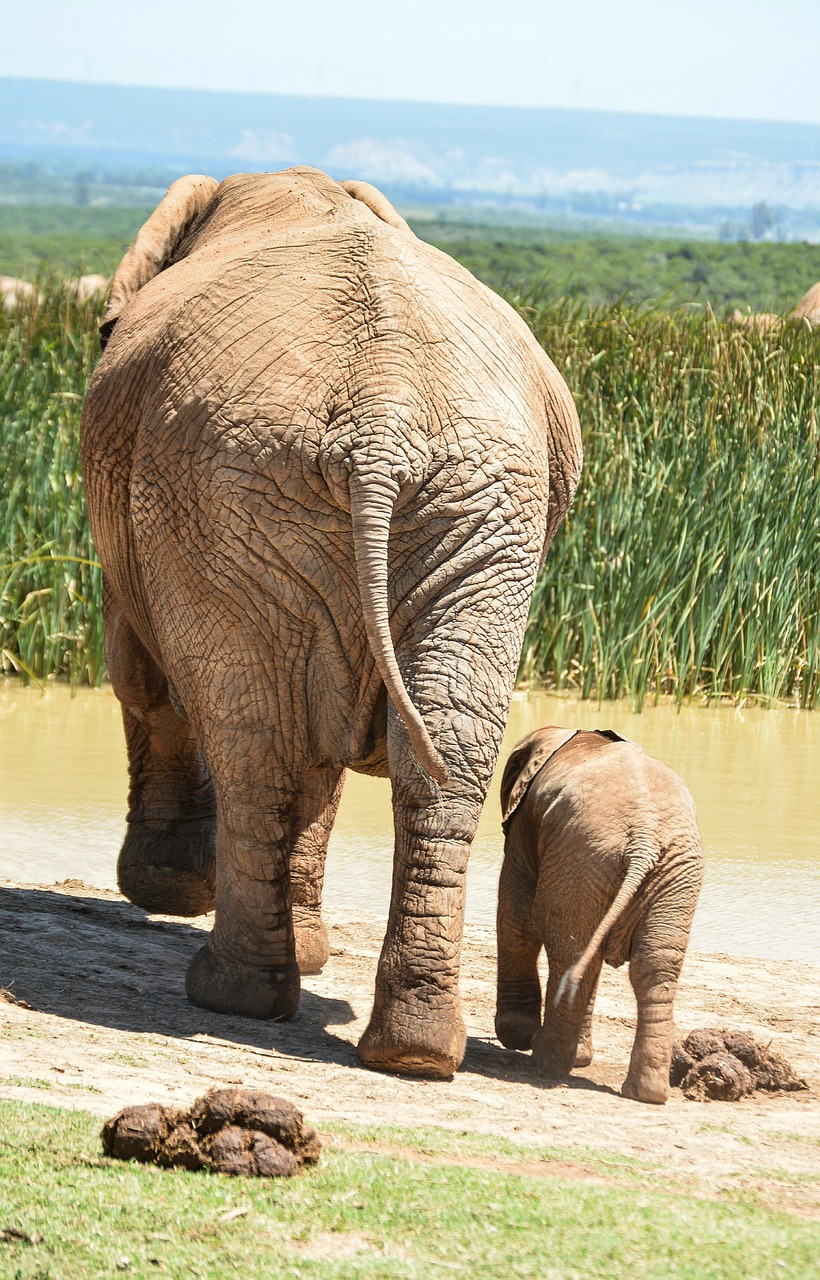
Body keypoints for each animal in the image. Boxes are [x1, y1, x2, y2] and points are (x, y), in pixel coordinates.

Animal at [81, 165, 583, 1075]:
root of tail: (383, 417)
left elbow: (143, 676)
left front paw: (167, 892)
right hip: (467, 511)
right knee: (440, 744)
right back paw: (412, 1051)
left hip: (232, 493)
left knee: (253, 737)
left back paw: (231, 993)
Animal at [496, 727, 701, 1105]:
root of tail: (645, 838)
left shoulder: (523, 830)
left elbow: (517, 918)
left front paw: (516, 1036)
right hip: (668, 872)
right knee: (652, 965)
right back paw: (645, 1093)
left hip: (586, 856)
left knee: (570, 949)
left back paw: (545, 1060)